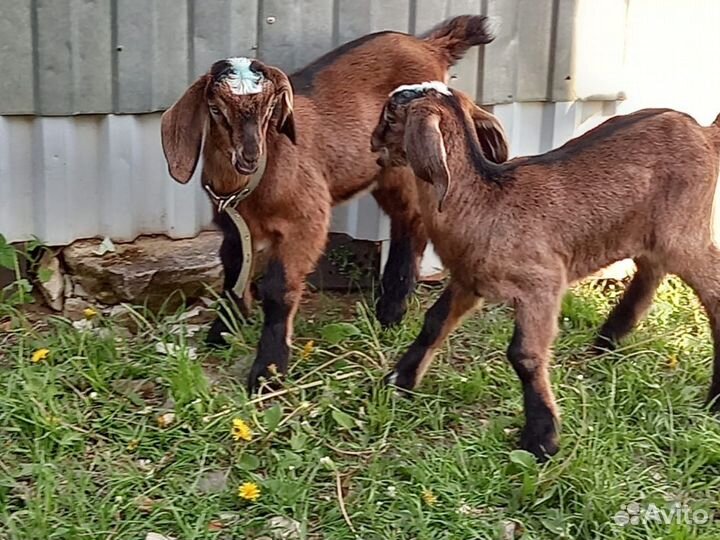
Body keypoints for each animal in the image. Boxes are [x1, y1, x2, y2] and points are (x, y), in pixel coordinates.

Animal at [160, 16, 499, 392]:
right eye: (216, 109)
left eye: (270, 109)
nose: (249, 157)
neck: (251, 183)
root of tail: (428, 47)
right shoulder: (232, 226)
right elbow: (233, 271)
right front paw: (222, 331)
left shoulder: (306, 219)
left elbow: (278, 288)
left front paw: (269, 370)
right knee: (404, 221)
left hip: (410, 165)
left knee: (413, 222)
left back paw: (392, 310)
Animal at [371, 81, 720, 459]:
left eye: (390, 114)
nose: (373, 143)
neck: (486, 201)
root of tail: (704, 132)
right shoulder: (468, 279)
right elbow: (434, 322)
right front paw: (399, 382)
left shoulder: (543, 283)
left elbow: (523, 354)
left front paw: (542, 439)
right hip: (650, 232)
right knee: (651, 269)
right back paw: (607, 339)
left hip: (685, 232)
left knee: (711, 292)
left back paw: (714, 397)